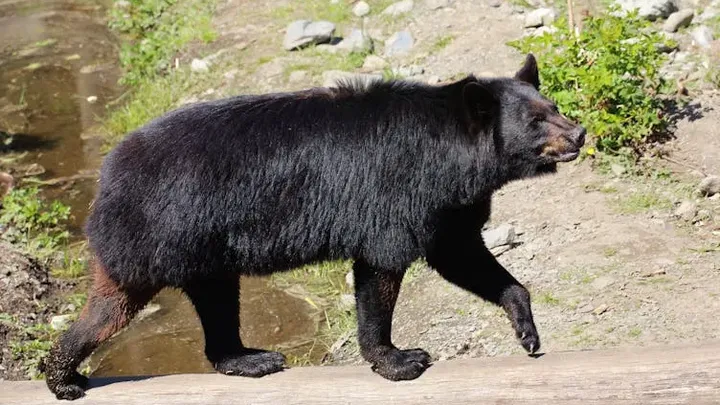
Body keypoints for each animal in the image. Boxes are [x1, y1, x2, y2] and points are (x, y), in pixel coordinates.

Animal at [42, 54, 585, 400]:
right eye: (536, 121)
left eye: (554, 107)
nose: (579, 133)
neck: (454, 159)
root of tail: (108, 174)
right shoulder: (398, 191)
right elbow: (381, 269)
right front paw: (399, 359)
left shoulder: (448, 206)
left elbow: (462, 256)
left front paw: (527, 330)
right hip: (161, 231)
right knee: (114, 306)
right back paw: (63, 377)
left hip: (202, 248)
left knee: (214, 299)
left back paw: (247, 358)